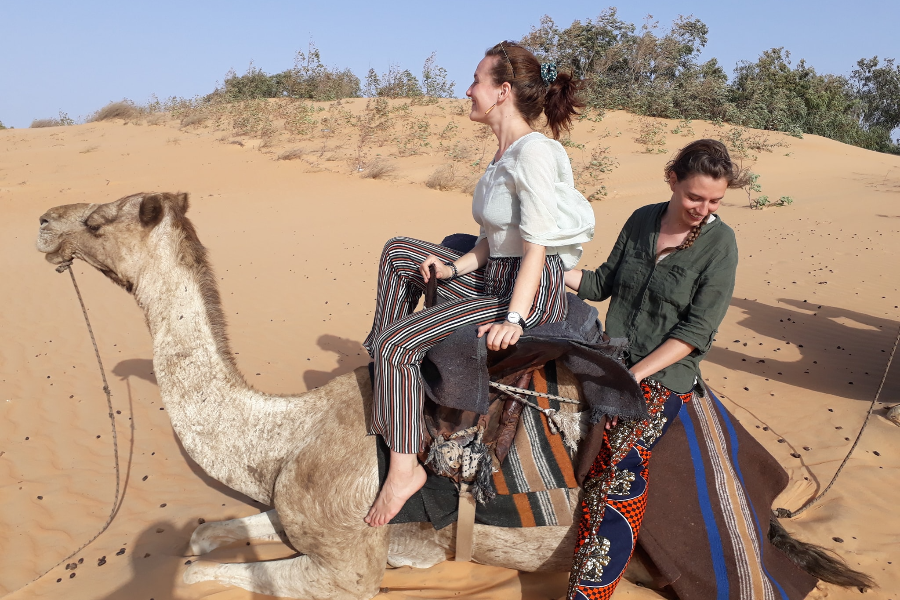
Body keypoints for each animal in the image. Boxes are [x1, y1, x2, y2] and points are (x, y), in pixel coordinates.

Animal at [37, 193, 576, 600]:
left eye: (97, 220)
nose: (43, 221)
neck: (289, 436)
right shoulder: (290, 506)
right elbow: (203, 534)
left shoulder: (350, 564)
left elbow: (192, 571)